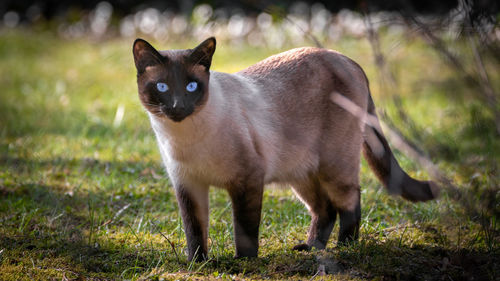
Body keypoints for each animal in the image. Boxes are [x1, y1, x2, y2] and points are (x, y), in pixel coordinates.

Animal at [132, 36, 438, 260]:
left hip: (333, 165)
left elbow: (244, 229)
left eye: (191, 87)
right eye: (162, 87)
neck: (184, 137)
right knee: (325, 209)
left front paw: (244, 263)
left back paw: (346, 248)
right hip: (301, 172)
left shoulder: (247, 180)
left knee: (350, 200)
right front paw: (198, 264)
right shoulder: (188, 185)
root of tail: (347, 59)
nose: (177, 107)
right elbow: (194, 231)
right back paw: (311, 248)